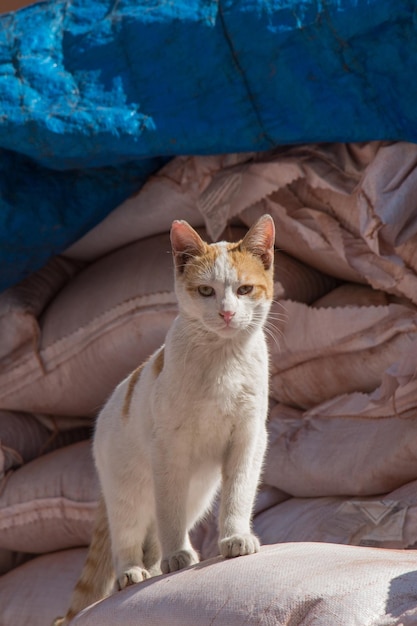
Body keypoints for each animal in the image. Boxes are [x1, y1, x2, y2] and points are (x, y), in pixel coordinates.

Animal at [53, 212, 274, 620]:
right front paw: (177, 555)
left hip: (199, 491)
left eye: (245, 289)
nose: (226, 313)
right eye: (205, 291)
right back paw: (133, 573)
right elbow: (168, 513)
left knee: (158, 530)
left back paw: (158, 566)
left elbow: (238, 491)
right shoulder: (169, 448)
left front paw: (234, 537)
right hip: (126, 489)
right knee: (128, 533)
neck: (221, 361)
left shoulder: (249, 437)